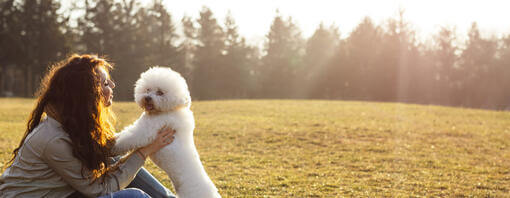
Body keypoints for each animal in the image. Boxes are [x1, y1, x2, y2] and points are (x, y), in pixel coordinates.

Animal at [112, 67, 220, 198]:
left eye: (160, 92)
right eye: (148, 89)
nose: (147, 98)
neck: (168, 110)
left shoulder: (146, 131)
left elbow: (128, 138)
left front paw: (111, 146)